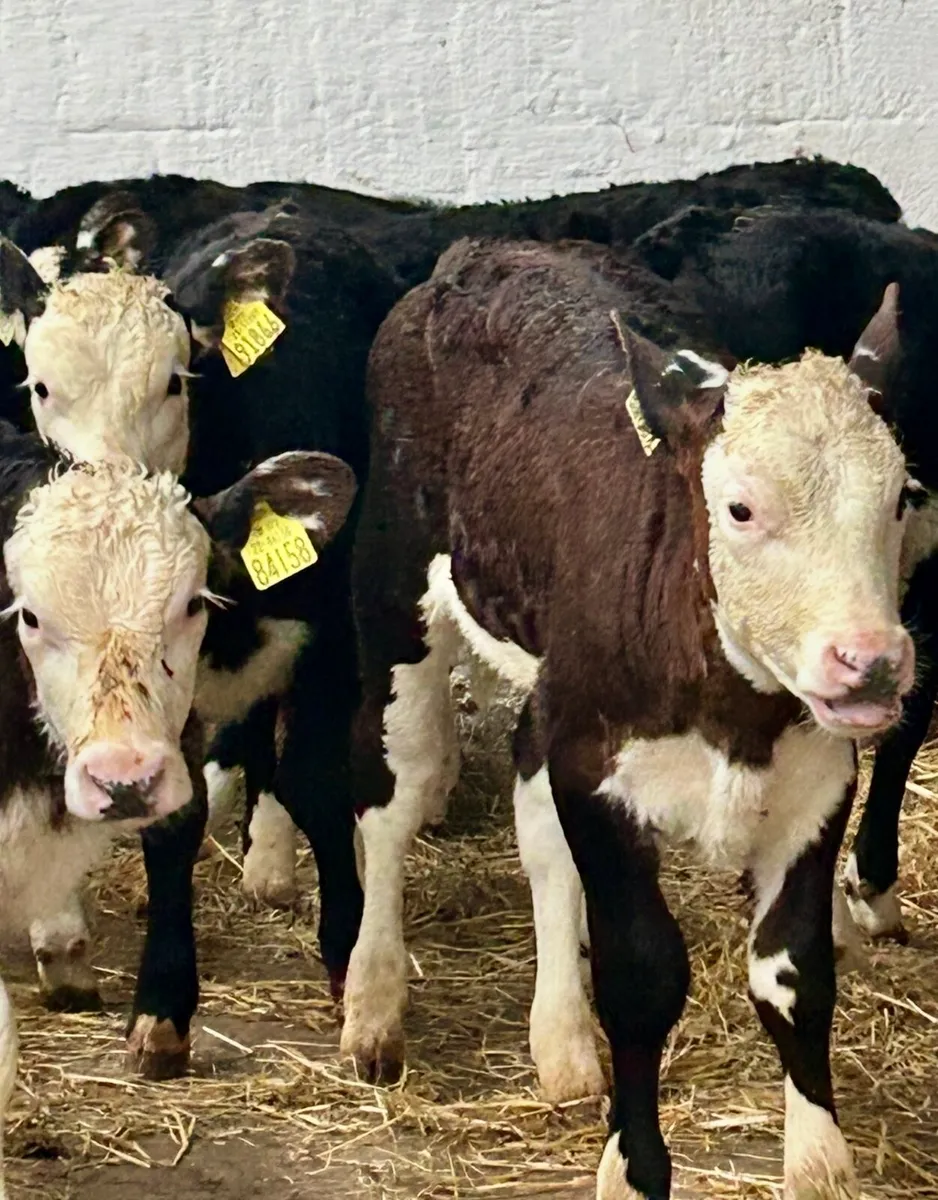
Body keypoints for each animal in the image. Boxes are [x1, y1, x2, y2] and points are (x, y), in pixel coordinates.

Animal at [345, 237, 915, 1199]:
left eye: (902, 495)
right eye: (740, 507)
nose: (870, 660)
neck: (736, 716)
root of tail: (482, 250)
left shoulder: (818, 781)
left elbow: (795, 970)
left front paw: (819, 1160)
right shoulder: (597, 771)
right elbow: (643, 976)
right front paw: (635, 1167)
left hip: (554, 685)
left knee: (532, 813)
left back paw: (563, 1043)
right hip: (398, 591)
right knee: (395, 793)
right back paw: (374, 1004)